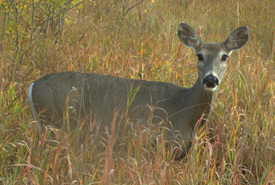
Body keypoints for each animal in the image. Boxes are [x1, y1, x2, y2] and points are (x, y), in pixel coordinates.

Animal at [28, 22, 250, 159]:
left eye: (224, 56)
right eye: (199, 55)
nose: (210, 79)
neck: (186, 112)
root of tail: (32, 87)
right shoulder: (150, 141)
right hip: (56, 122)